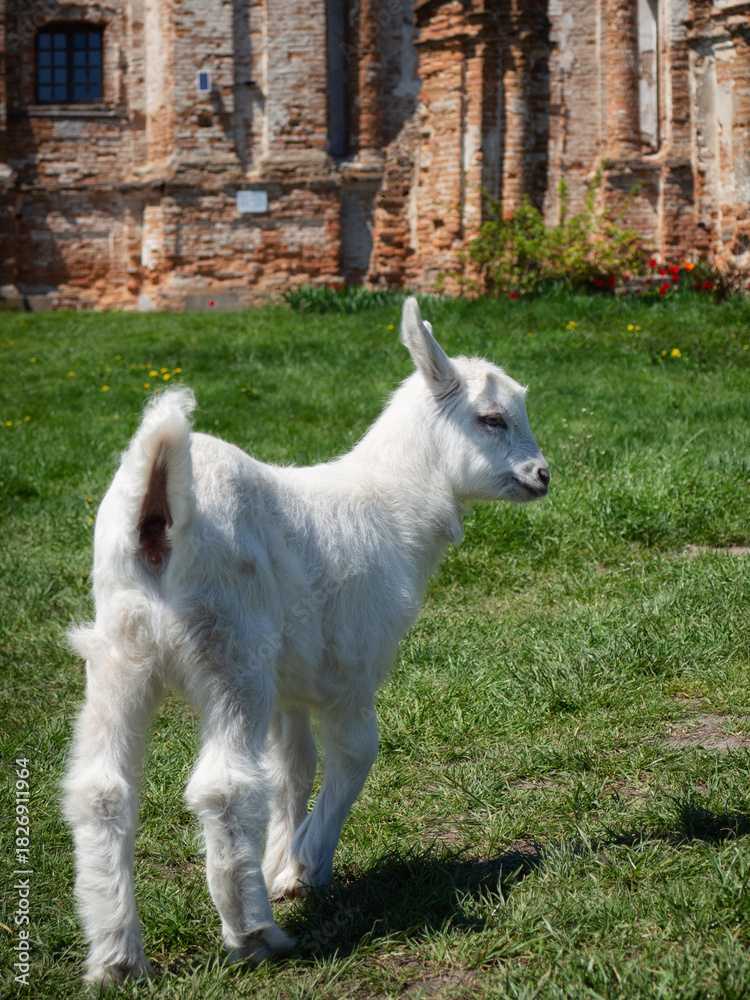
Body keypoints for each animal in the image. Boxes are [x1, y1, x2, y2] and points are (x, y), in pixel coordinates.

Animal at [63, 298, 550, 985]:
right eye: (492, 418)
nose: (542, 475)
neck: (390, 505)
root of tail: (156, 503)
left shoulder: (290, 684)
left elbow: (292, 767)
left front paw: (279, 864)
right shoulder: (354, 665)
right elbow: (353, 754)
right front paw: (306, 869)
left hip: (119, 650)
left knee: (102, 790)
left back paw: (118, 958)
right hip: (232, 649)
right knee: (224, 788)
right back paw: (254, 934)